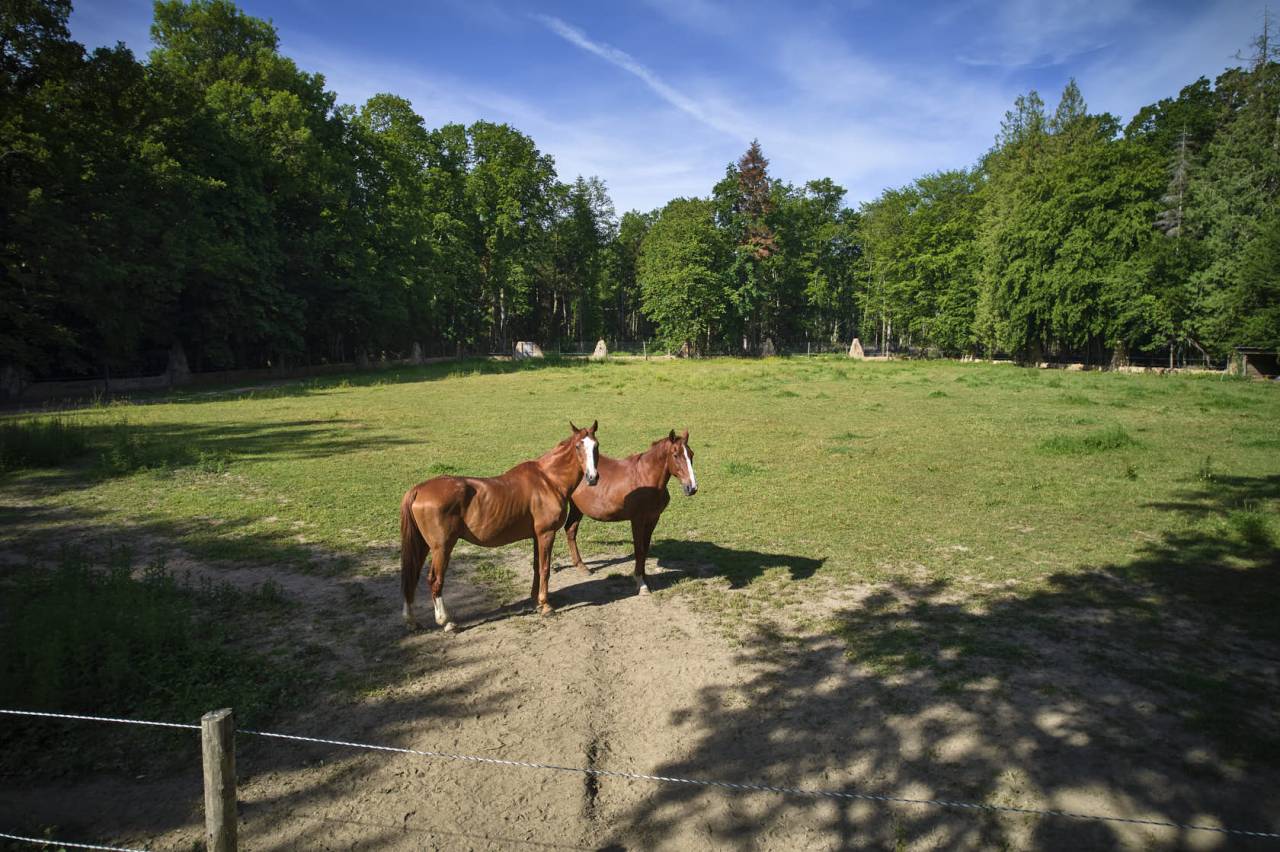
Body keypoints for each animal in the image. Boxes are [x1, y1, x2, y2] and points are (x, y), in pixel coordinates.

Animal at [400, 421, 600, 631]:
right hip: (442, 547)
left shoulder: (536, 536)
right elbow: (545, 569)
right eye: (578, 446)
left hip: (423, 544)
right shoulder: (546, 534)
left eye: (596, 446)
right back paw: (446, 622)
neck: (548, 481)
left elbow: (537, 567)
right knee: (435, 580)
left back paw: (412, 621)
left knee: (411, 575)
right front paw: (545, 606)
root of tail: (419, 489)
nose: (592, 477)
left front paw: (536, 601)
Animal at [563, 429, 697, 595]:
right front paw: (641, 583)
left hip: (577, 508)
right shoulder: (637, 520)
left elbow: (645, 549)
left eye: (691, 454)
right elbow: (639, 549)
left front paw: (645, 578)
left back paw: (582, 567)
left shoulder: (653, 518)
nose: (691, 488)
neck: (645, 478)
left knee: (570, 530)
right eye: (675, 455)